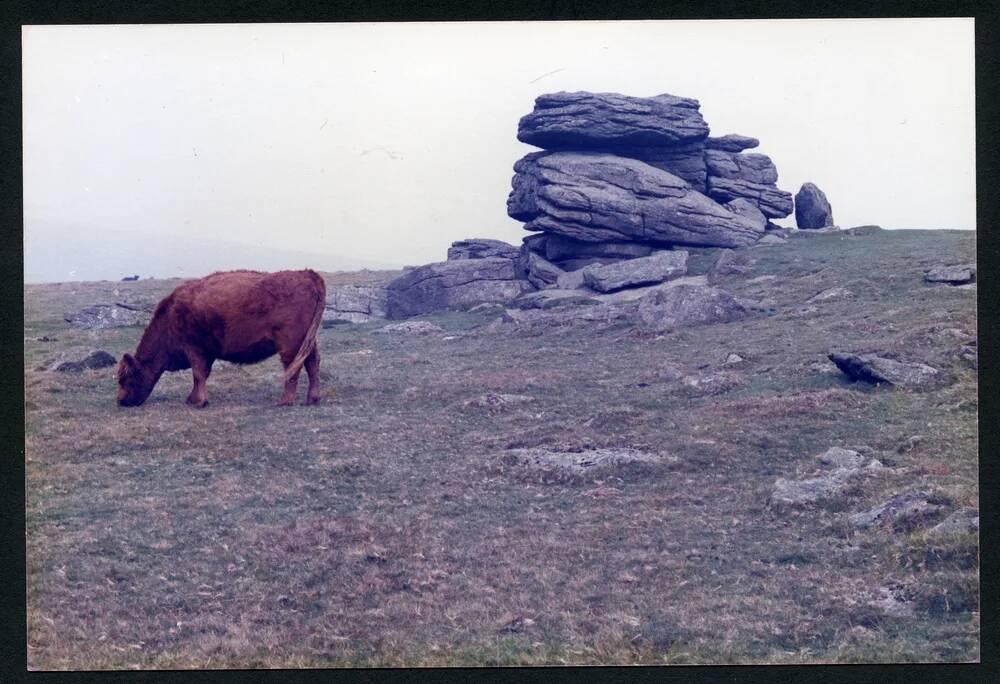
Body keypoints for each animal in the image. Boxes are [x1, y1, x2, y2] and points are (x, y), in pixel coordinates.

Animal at [116, 268, 324, 406]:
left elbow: (198, 374)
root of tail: (307, 274)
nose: (121, 401)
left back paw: (285, 401)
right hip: (308, 341)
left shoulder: (194, 349)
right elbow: (201, 375)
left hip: (290, 344)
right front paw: (192, 399)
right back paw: (312, 399)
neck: (171, 315)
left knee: (293, 368)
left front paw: (199, 402)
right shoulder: (206, 353)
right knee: (312, 363)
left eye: (125, 378)